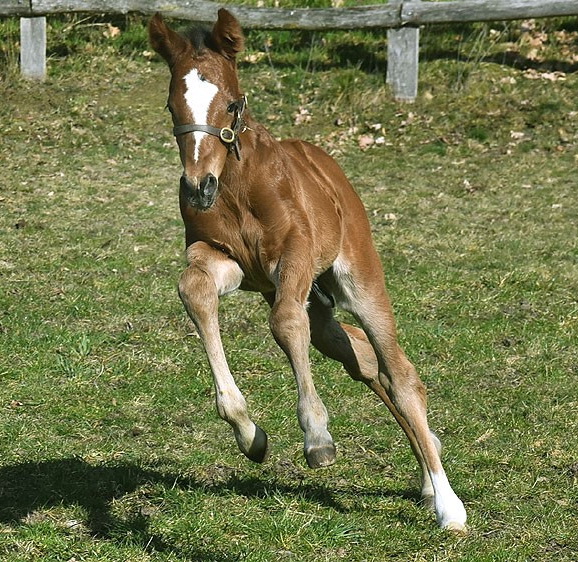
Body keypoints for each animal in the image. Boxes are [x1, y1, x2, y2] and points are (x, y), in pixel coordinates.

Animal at [147, 9, 464, 528]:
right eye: (173, 107)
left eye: (231, 105)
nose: (198, 187)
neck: (238, 187)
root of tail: (327, 163)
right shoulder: (228, 262)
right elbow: (194, 290)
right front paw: (248, 433)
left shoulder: (292, 257)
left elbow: (284, 323)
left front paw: (317, 436)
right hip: (318, 307)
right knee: (364, 361)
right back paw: (426, 471)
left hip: (356, 280)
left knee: (398, 373)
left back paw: (447, 503)